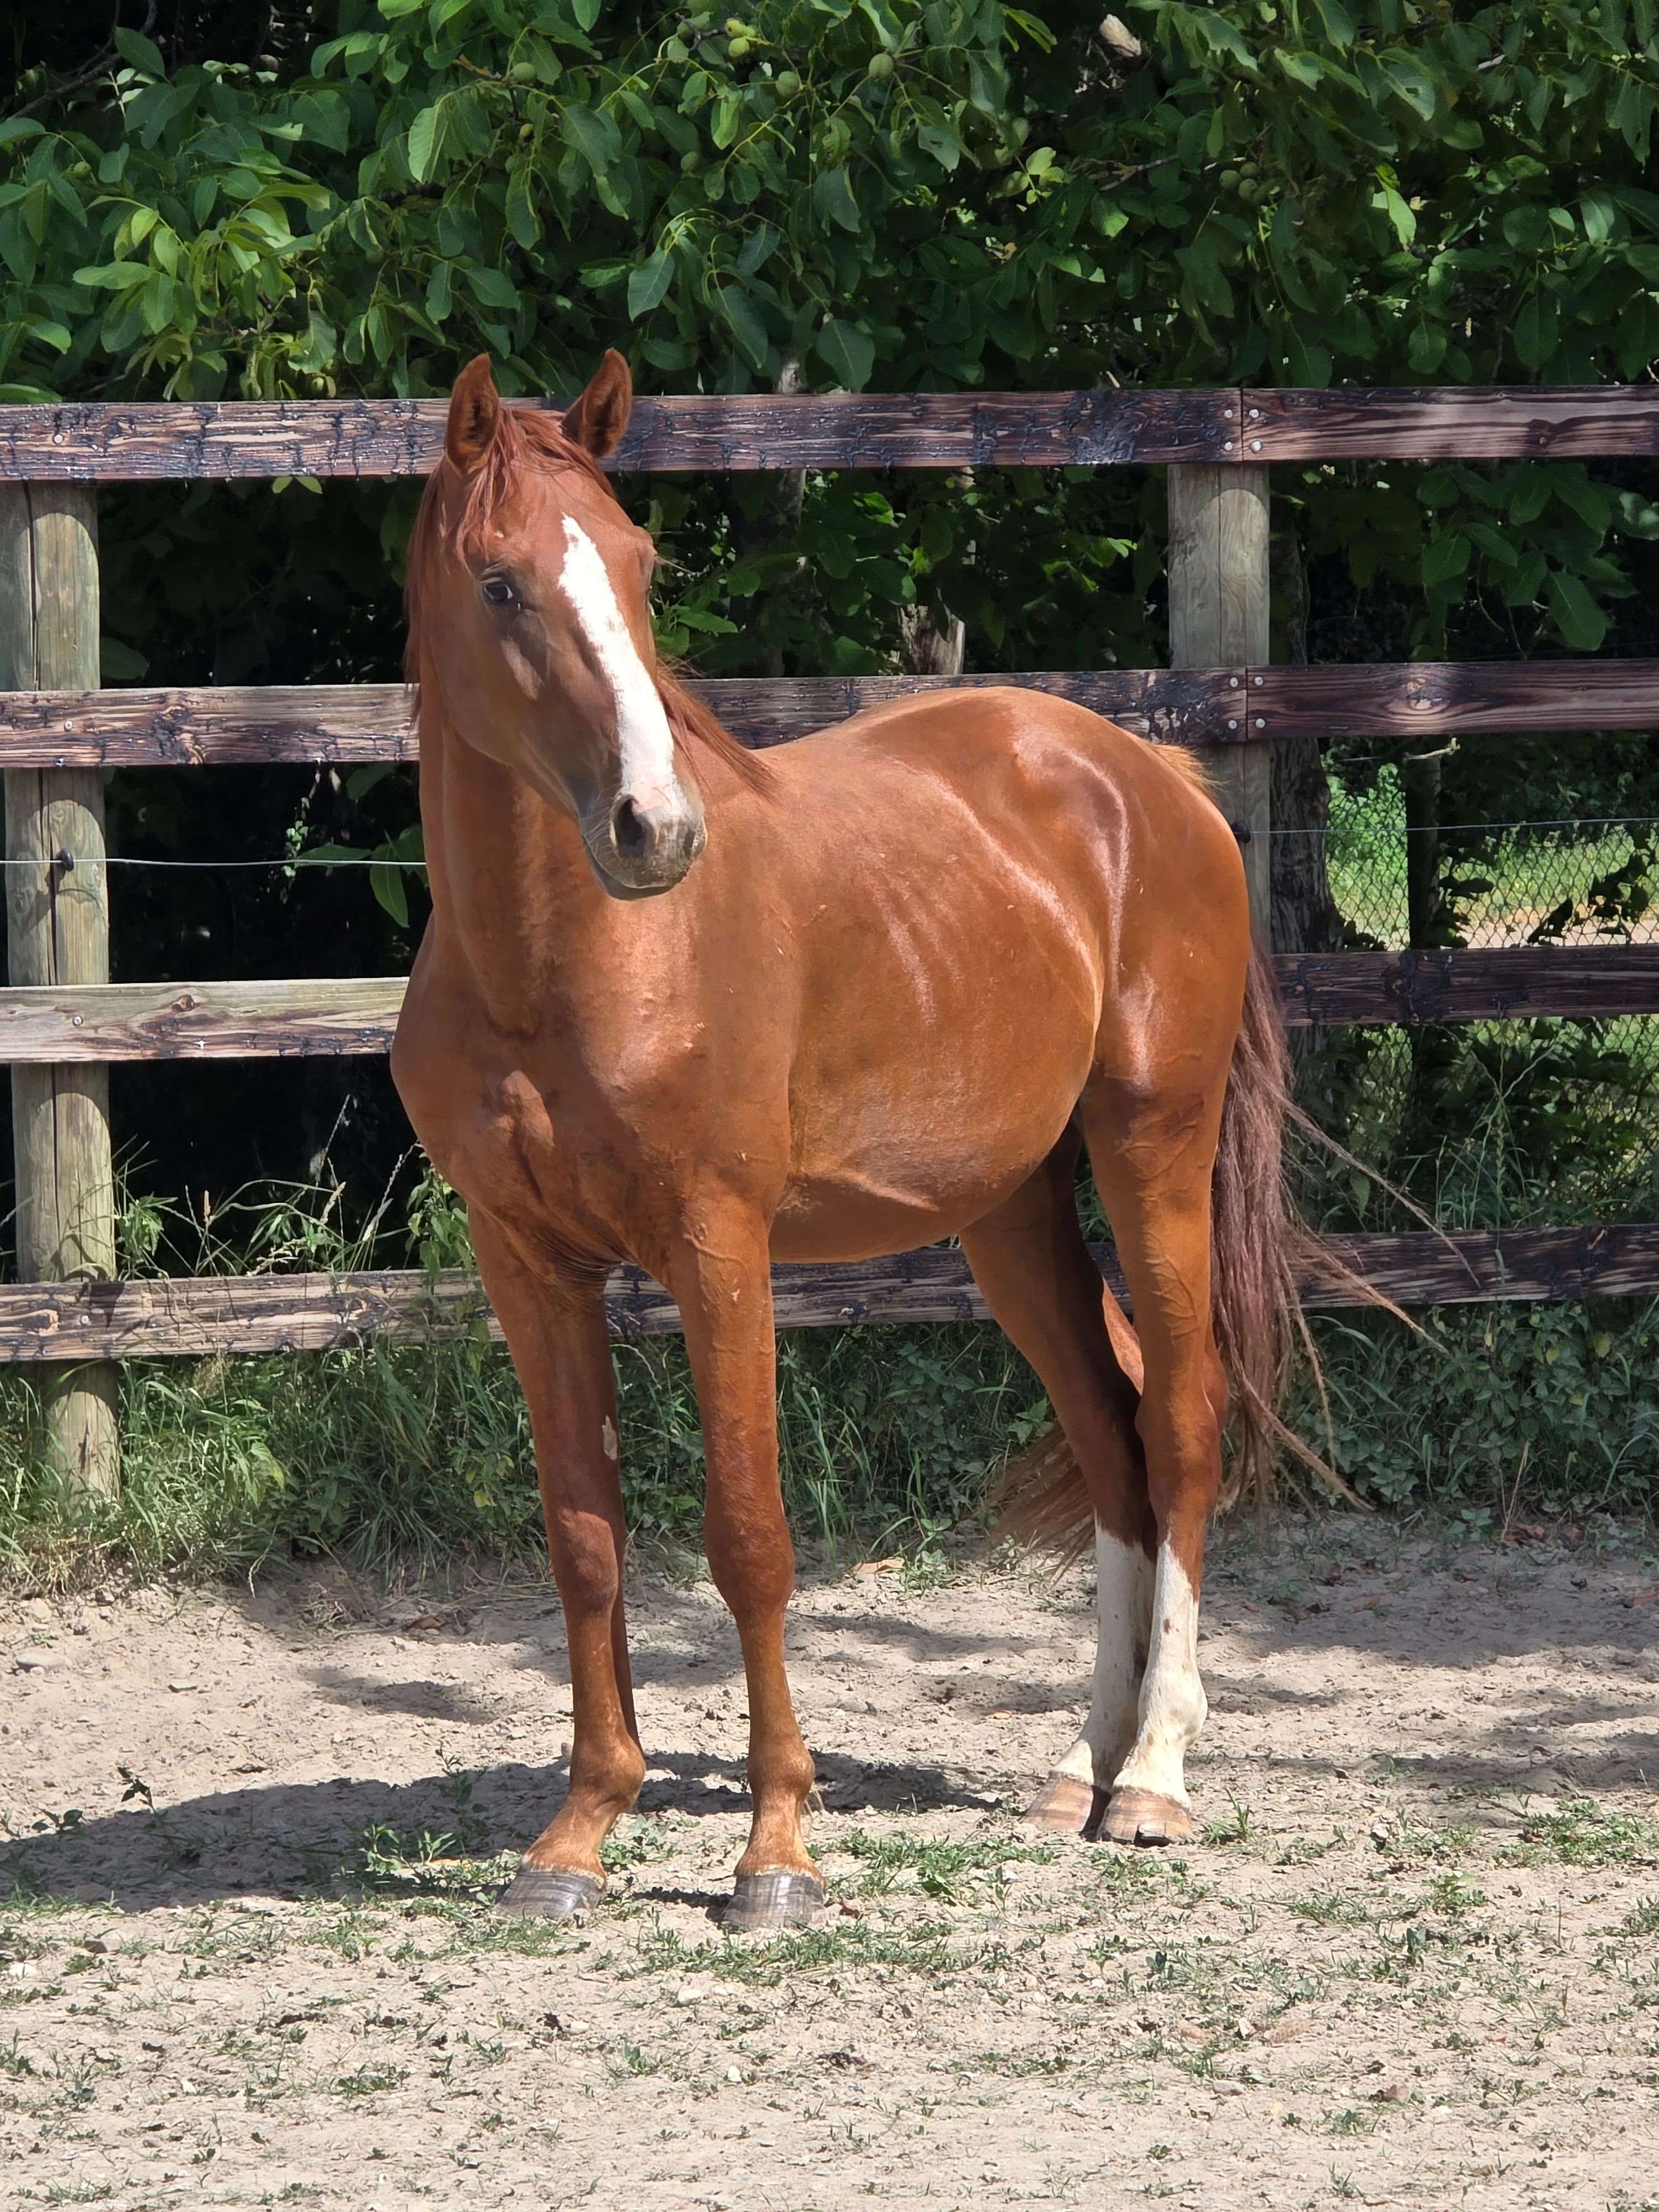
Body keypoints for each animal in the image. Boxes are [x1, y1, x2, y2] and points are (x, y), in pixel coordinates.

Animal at [391, 350, 1304, 1932]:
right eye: (500, 582)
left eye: (636, 563)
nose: (654, 825)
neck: (563, 969)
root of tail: (1151, 780)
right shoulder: (530, 1266)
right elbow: (584, 1539)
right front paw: (578, 1833)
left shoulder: (720, 1247)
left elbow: (750, 1538)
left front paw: (775, 1851)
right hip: (1008, 1214)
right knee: (1111, 1435)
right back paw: (1077, 1768)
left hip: (1154, 1159)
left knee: (1179, 1426)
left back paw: (1152, 1780)